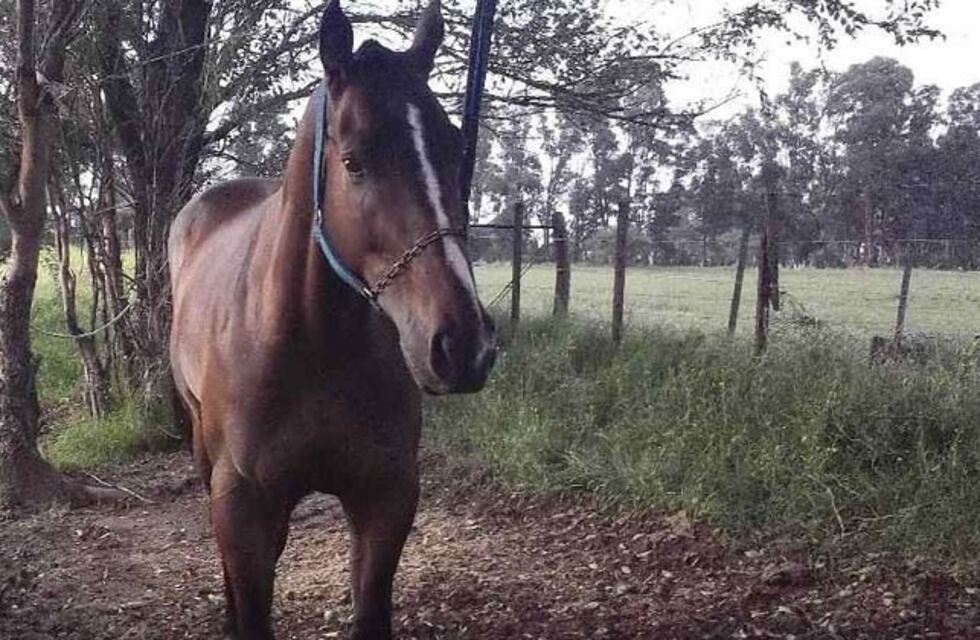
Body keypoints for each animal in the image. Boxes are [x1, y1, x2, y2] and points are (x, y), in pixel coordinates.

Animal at [167, 1, 496, 638]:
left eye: (455, 150)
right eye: (353, 161)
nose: (463, 345)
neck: (311, 343)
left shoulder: (386, 498)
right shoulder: (240, 503)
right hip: (202, 450)